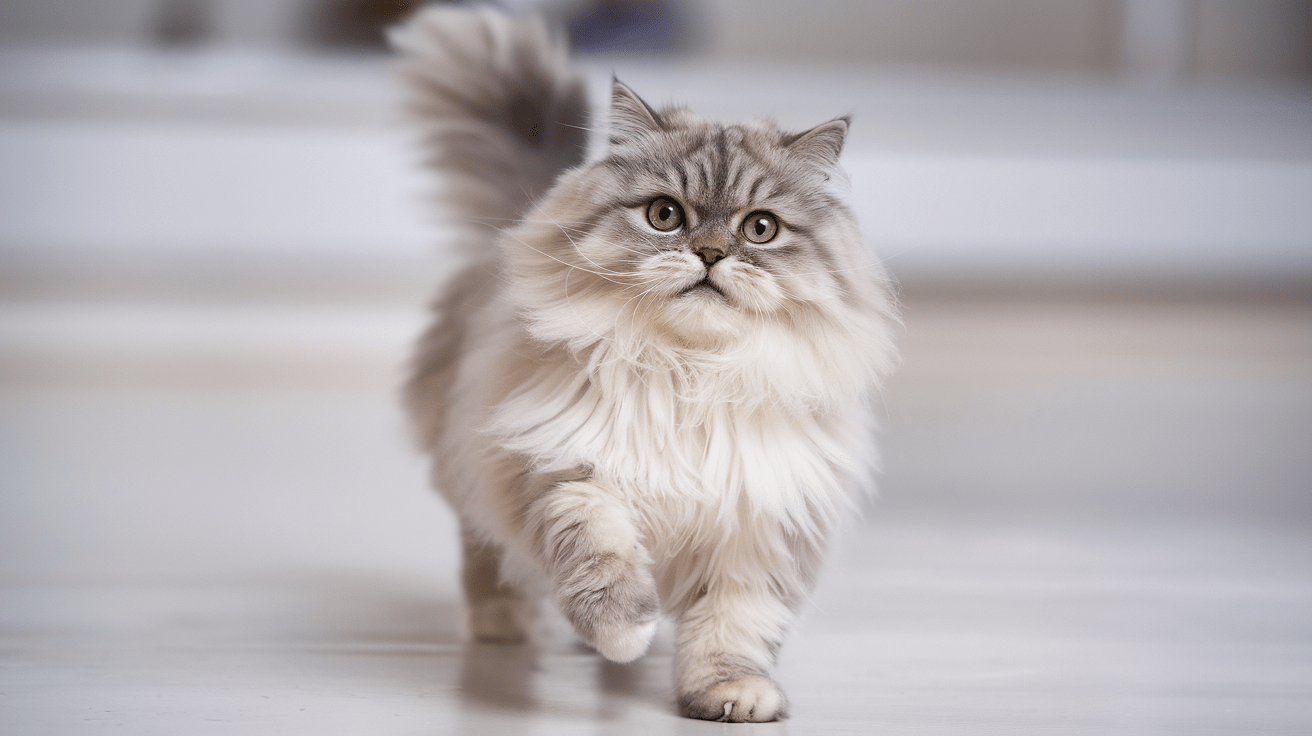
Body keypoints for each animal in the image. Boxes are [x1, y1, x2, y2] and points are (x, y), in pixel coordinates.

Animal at [393, 5, 897, 718]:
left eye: (760, 229)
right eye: (665, 215)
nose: (711, 253)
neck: (691, 374)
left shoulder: (760, 524)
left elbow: (734, 626)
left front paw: (731, 694)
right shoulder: (566, 472)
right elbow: (601, 562)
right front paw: (626, 633)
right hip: (472, 457)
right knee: (485, 550)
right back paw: (506, 624)